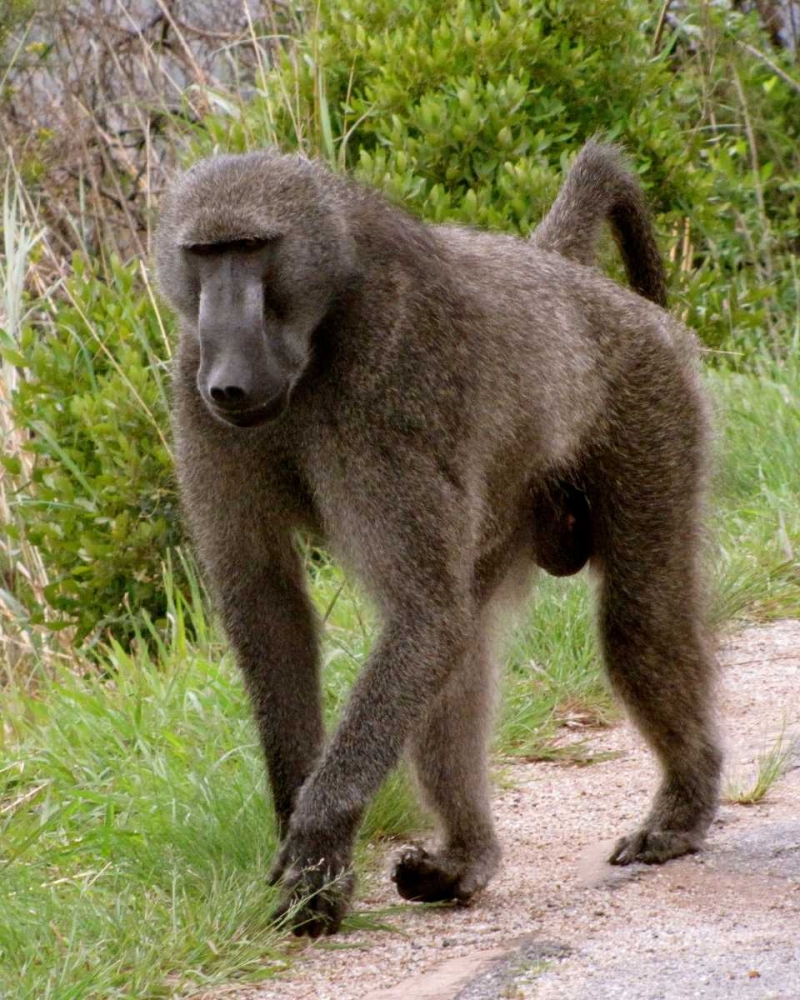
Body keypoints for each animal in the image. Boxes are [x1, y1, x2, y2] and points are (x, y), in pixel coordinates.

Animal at [155, 140, 722, 938]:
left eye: (253, 248)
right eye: (205, 256)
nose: (229, 378)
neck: (322, 334)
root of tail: (567, 278)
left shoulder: (389, 385)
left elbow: (421, 613)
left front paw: (318, 843)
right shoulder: (193, 394)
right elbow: (270, 606)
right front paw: (296, 823)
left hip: (651, 399)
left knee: (635, 623)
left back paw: (683, 810)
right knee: (461, 648)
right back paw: (466, 858)